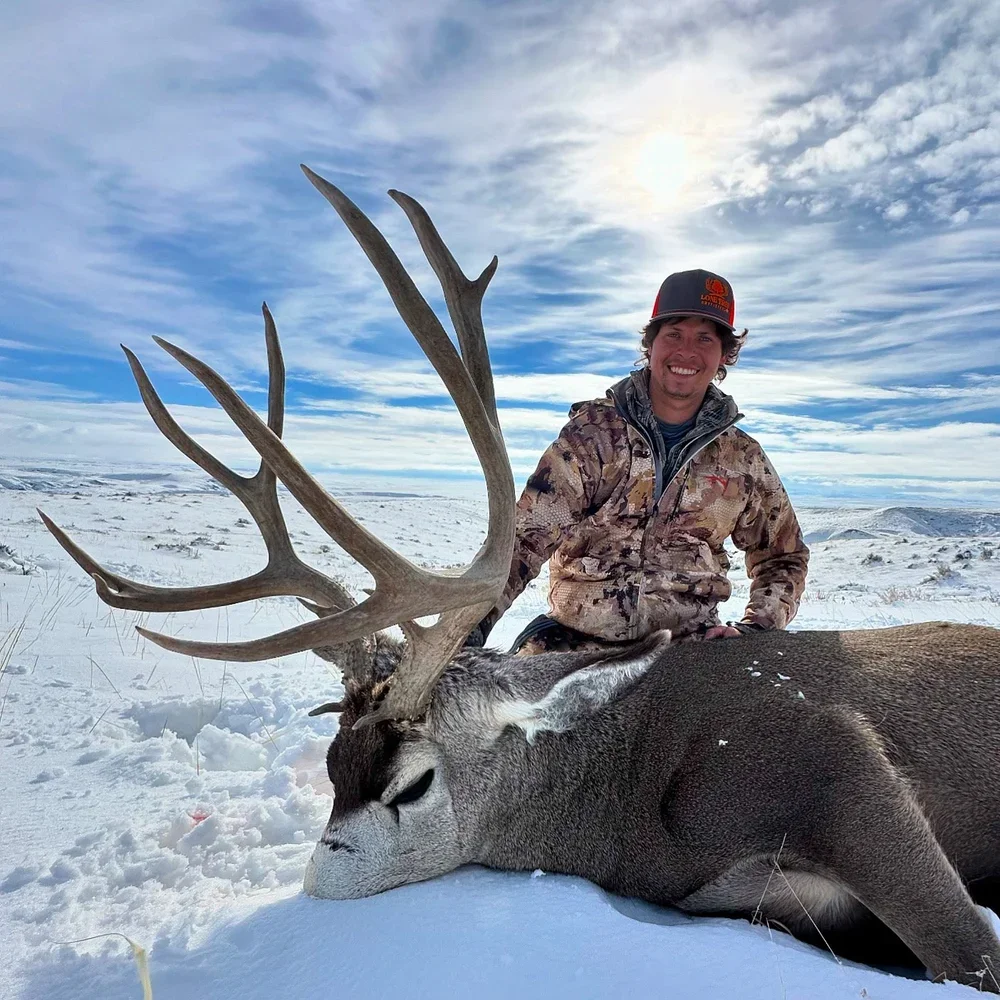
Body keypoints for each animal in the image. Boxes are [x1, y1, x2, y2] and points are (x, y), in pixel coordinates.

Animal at [39, 165, 1000, 993]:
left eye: (412, 783)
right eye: (332, 764)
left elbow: (969, 950)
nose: (320, 887)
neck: (631, 797)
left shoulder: (837, 758)